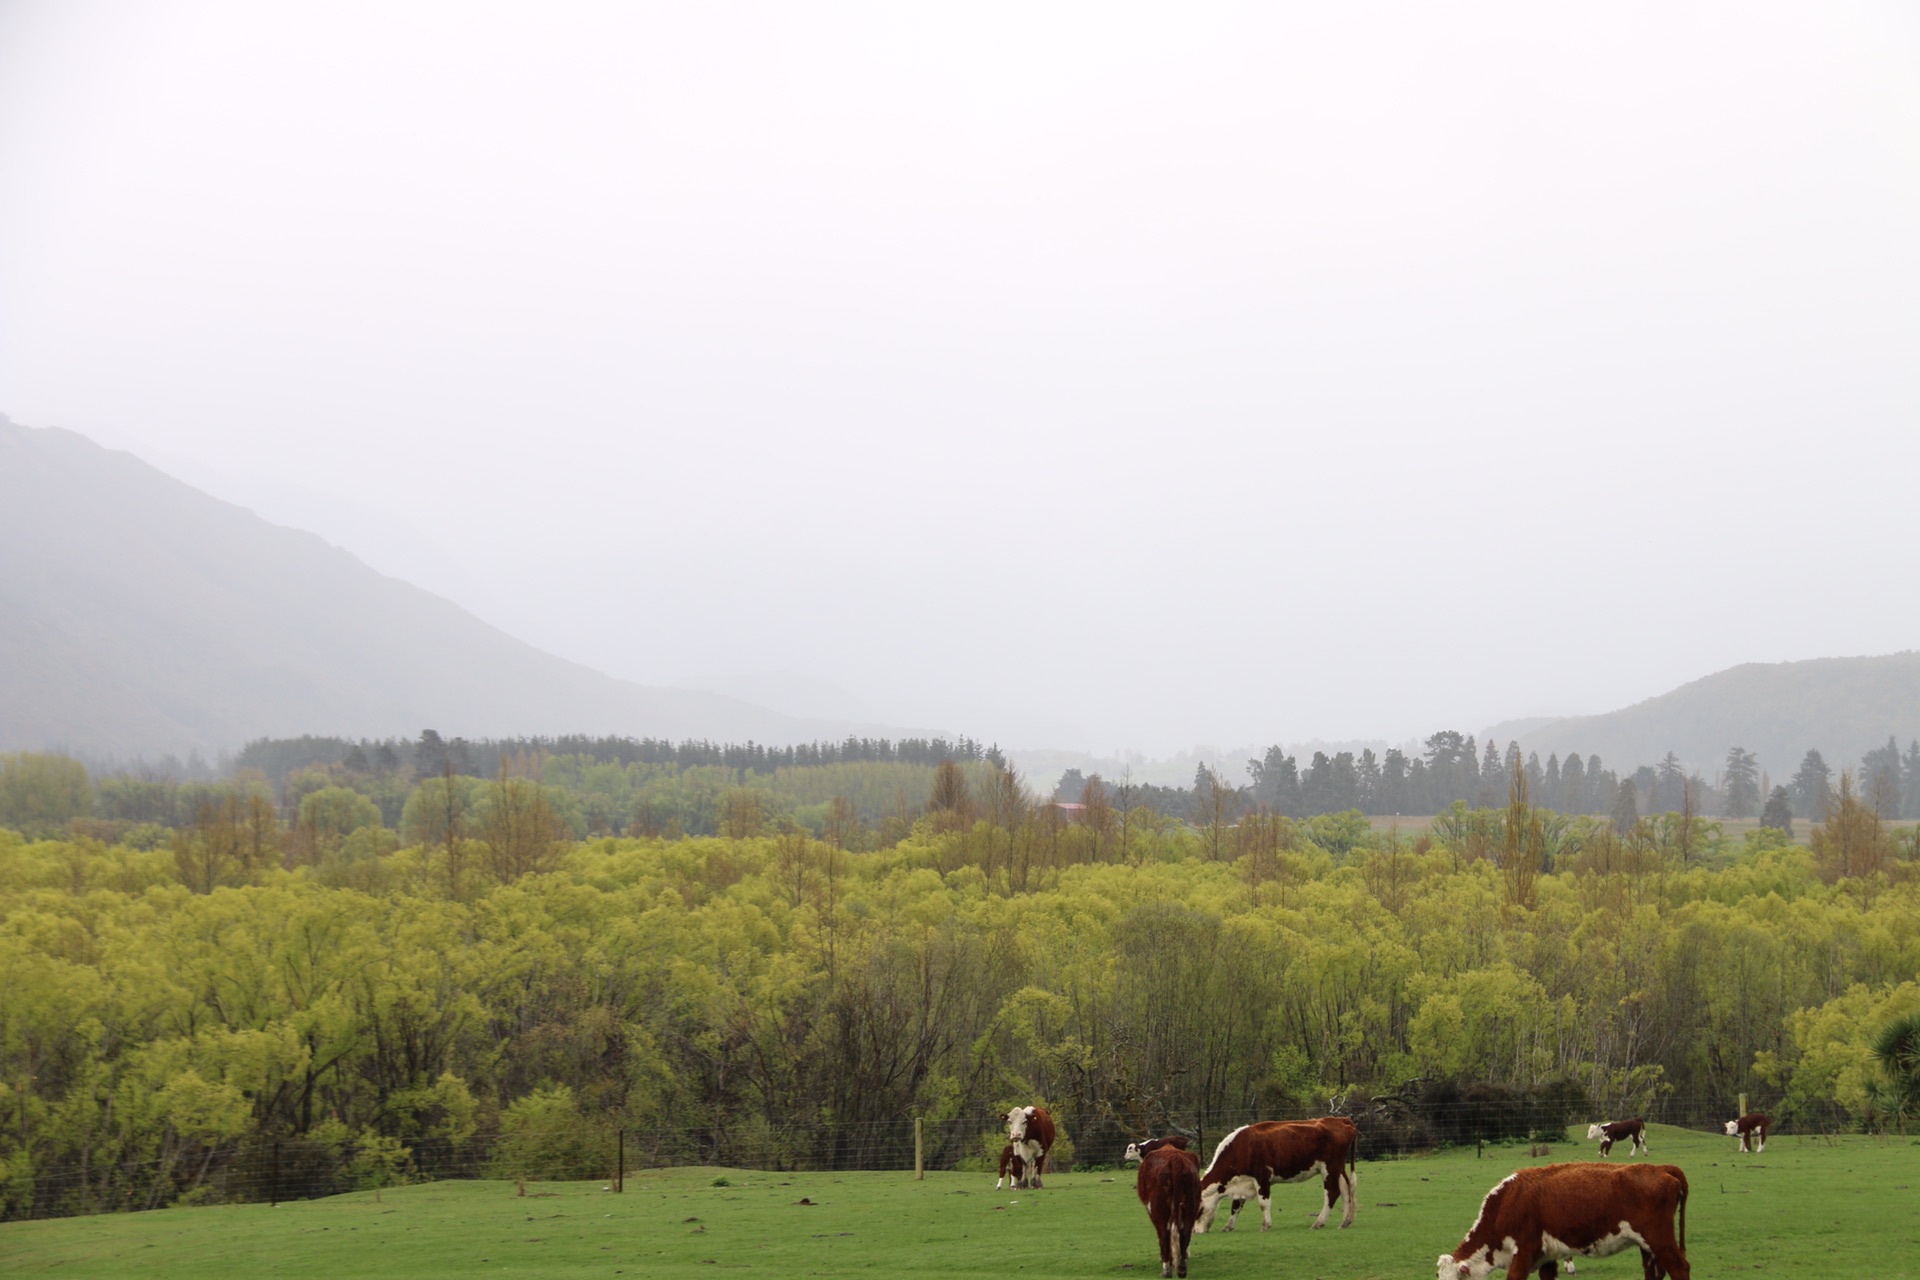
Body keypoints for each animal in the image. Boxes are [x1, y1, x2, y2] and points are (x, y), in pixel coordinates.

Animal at [1136, 1143, 1198, 1274]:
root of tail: (1175, 1160)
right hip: (1191, 1206)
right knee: (1185, 1233)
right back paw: (1181, 1267)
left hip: (1159, 1210)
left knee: (1164, 1234)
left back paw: (1166, 1269)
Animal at [1190, 1113, 1359, 1235]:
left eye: (1198, 1210)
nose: (1196, 1232)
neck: (1240, 1148)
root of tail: (1341, 1120)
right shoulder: (1242, 1183)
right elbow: (1236, 1206)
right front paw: (1228, 1226)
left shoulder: (1262, 1177)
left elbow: (1263, 1203)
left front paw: (1266, 1225)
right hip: (1338, 1169)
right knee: (1346, 1190)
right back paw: (1345, 1222)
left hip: (1329, 1168)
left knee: (1332, 1193)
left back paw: (1319, 1222)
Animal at [1436, 1159, 1689, 1280]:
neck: (1506, 1202)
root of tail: (1661, 1168)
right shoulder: (1547, 1258)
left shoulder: (1524, 1252)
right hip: (1647, 1247)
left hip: (1659, 1239)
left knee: (1680, 1268)